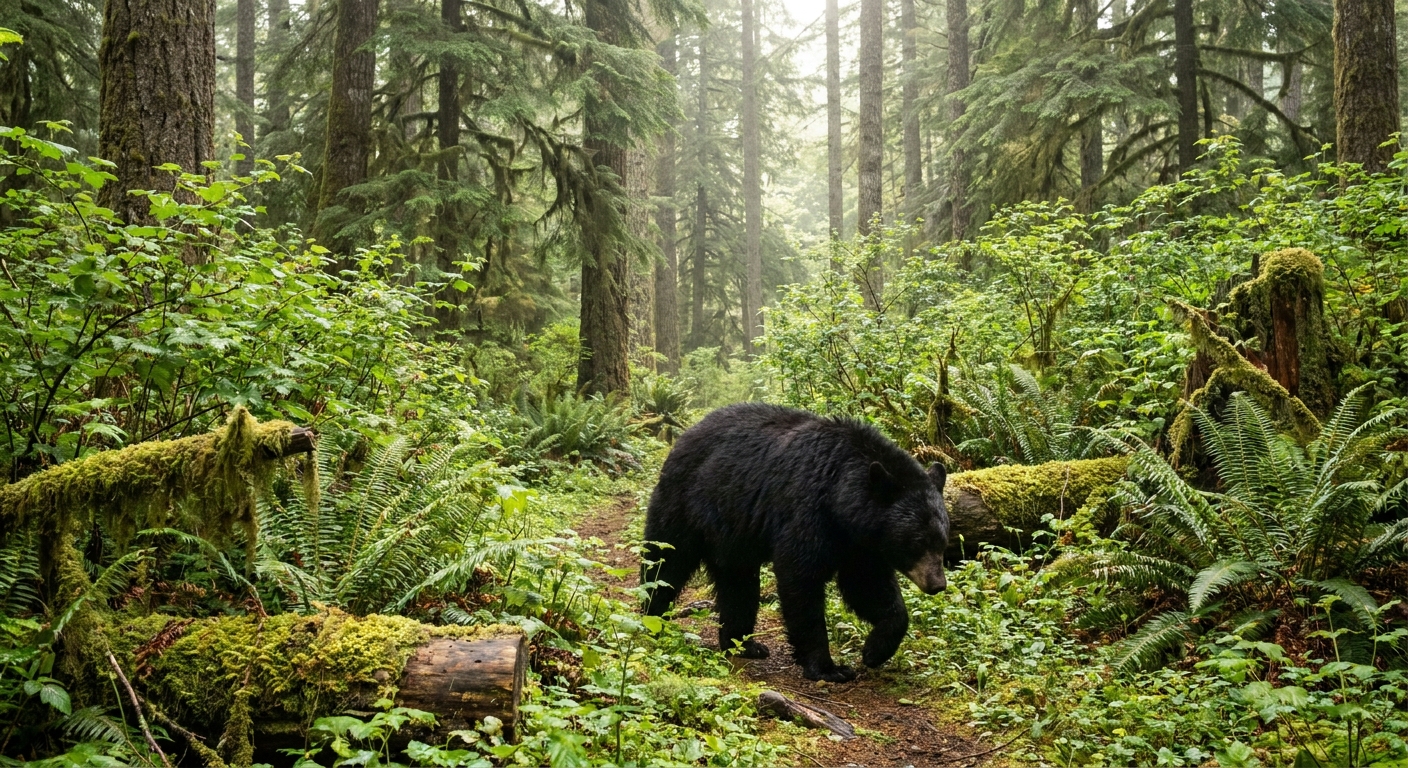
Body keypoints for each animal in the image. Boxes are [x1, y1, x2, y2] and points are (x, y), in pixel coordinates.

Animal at [640, 402, 950, 682]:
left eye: (942, 542)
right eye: (917, 541)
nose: (937, 584)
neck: (840, 496)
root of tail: (685, 435)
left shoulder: (859, 543)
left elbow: (868, 585)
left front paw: (874, 651)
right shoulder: (807, 509)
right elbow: (802, 578)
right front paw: (828, 667)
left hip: (731, 533)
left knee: (738, 584)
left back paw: (744, 644)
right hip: (686, 503)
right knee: (665, 562)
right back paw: (653, 620)